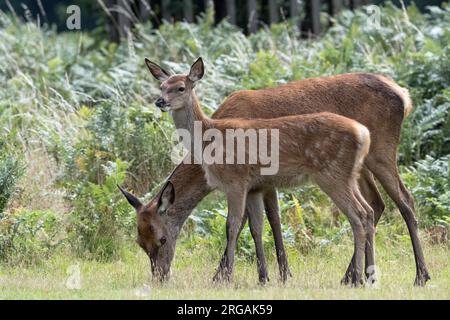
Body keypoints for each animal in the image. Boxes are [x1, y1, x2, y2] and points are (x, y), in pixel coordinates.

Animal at [121, 57, 430, 288]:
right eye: (139, 241)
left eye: (162, 238)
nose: (159, 276)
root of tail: (404, 96)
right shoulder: (259, 184)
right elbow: (263, 225)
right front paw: (271, 275)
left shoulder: (248, 181)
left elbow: (248, 224)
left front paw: (225, 276)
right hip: (359, 169)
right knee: (375, 206)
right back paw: (357, 275)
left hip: (377, 153)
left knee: (404, 202)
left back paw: (418, 275)